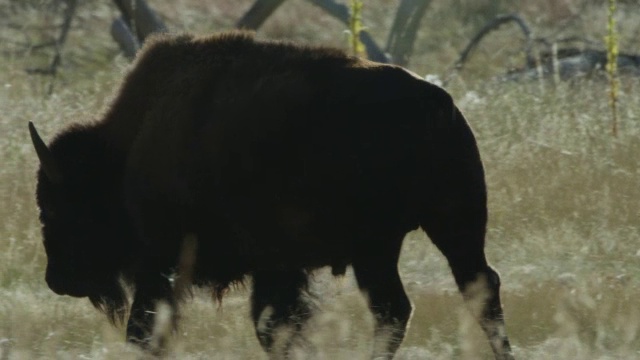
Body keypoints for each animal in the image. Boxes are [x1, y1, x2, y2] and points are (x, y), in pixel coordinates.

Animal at [31, 32, 516, 358]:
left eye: (53, 205)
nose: (57, 279)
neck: (129, 149)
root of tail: (437, 104)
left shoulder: (173, 262)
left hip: (399, 239)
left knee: (432, 301)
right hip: (427, 234)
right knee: (452, 294)